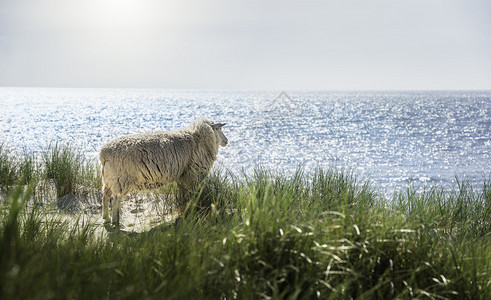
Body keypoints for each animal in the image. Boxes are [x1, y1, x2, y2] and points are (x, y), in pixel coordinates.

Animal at [100, 119, 231, 225]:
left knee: (106, 196)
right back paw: (114, 220)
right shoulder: (192, 175)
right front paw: (191, 208)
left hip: (109, 179)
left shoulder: (182, 176)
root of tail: (104, 154)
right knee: (116, 199)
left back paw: (106, 217)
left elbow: (183, 193)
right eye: (219, 129)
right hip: (121, 179)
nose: (227, 141)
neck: (200, 139)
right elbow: (191, 195)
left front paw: (183, 206)